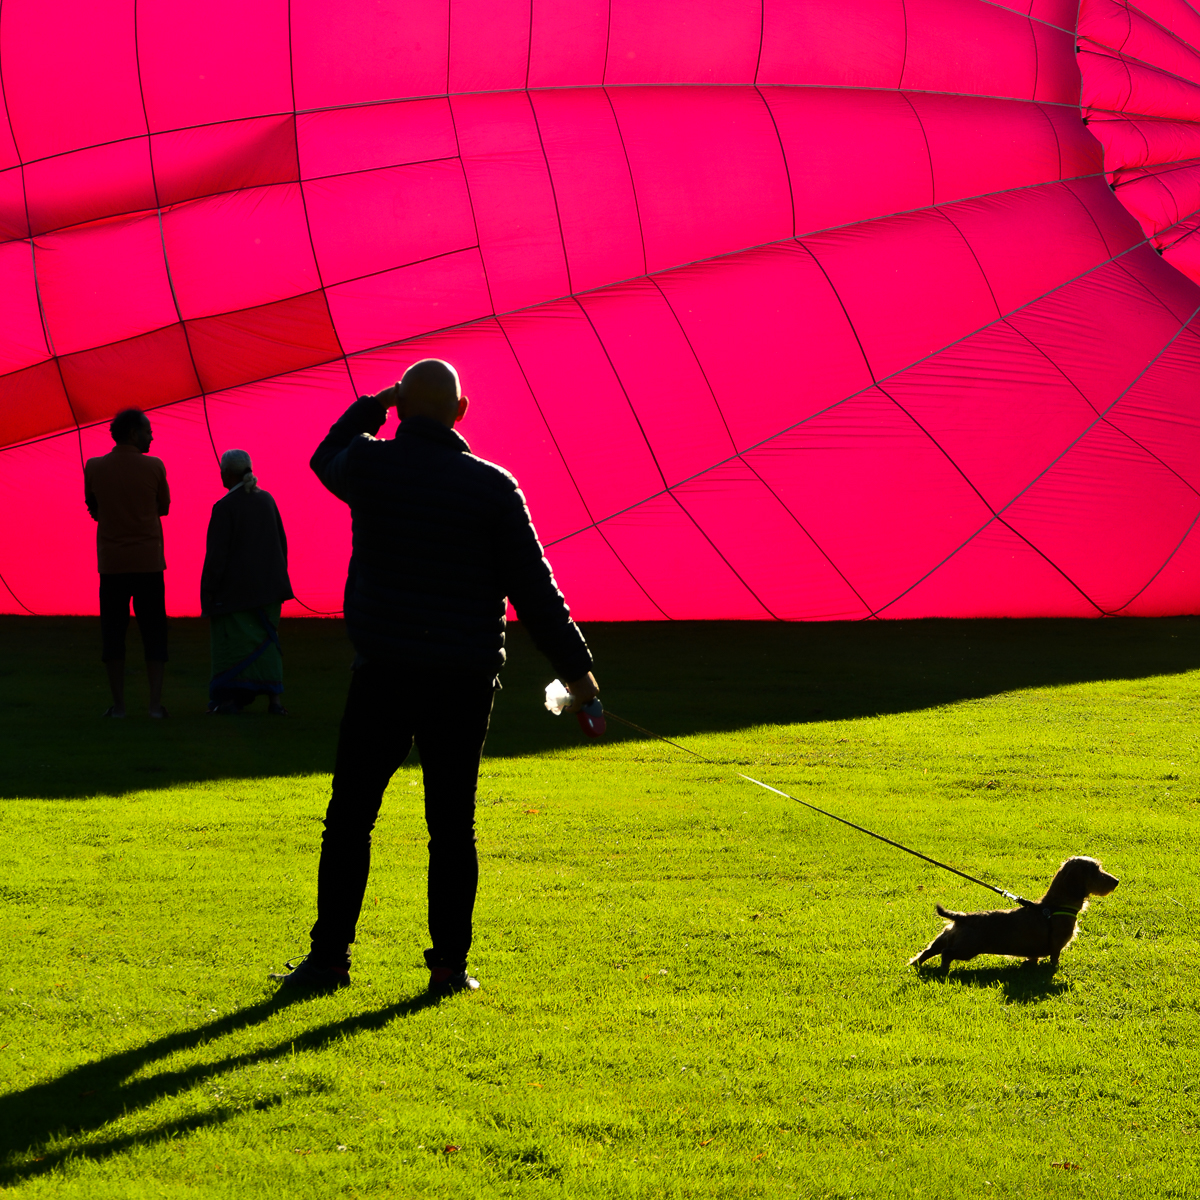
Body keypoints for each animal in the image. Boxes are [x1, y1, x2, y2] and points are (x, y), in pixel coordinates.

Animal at [912, 854, 1118, 974]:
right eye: (1097, 871)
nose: (1116, 881)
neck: (1054, 906)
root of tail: (961, 917)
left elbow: (1033, 957)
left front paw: (1030, 965)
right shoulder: (1056, 946)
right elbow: (1054, 959)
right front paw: (1055, 969)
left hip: (943, 939)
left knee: (927, 951)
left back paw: (914, 966)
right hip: (967, 949)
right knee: (946, 953)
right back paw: (943, 970)